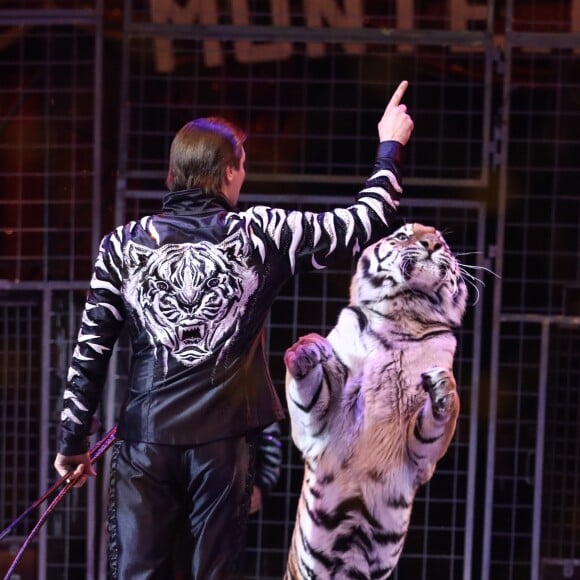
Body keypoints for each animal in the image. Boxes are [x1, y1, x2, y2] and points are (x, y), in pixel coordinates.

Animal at [284, 221, 468, 576]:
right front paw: (305, 351)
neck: (404, 321)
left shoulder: (421, 459)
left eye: (444, 243)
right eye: (402, 235)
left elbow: (440, 418)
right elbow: (308, 394)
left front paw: (442, 387)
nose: (431, 243)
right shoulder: (317, 431)